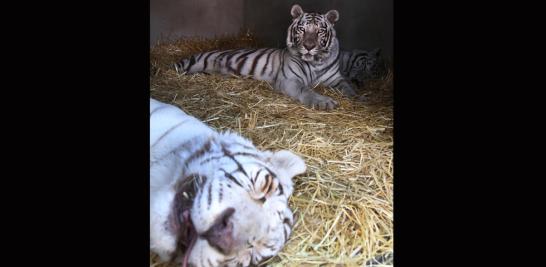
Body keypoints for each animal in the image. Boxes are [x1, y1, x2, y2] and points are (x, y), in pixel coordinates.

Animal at [172, 4, 354, 111]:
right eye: (302, 29)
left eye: (319, 31)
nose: (309, 46)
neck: (316, 62)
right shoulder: (290, 79)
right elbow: (306, 89)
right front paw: (324, 102)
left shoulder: (336, 78)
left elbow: (347, 86)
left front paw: (355, 97)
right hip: (192, 63)